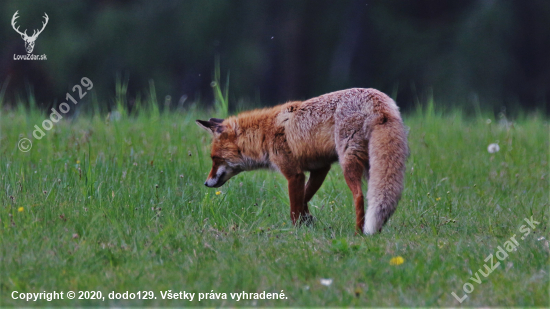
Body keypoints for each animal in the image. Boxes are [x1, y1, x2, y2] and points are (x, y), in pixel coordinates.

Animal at [198, 88, 410, 232]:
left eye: (215, 159)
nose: (206, 183)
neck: (264, 134)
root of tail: (377, 97)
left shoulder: (294, 174)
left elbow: (295, 206)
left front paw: (295, 230)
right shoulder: (320, 168)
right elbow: (305, 198)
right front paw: (307, 219)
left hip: (348, 163)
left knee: (359, 196)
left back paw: (359, 232)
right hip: (371, 166)